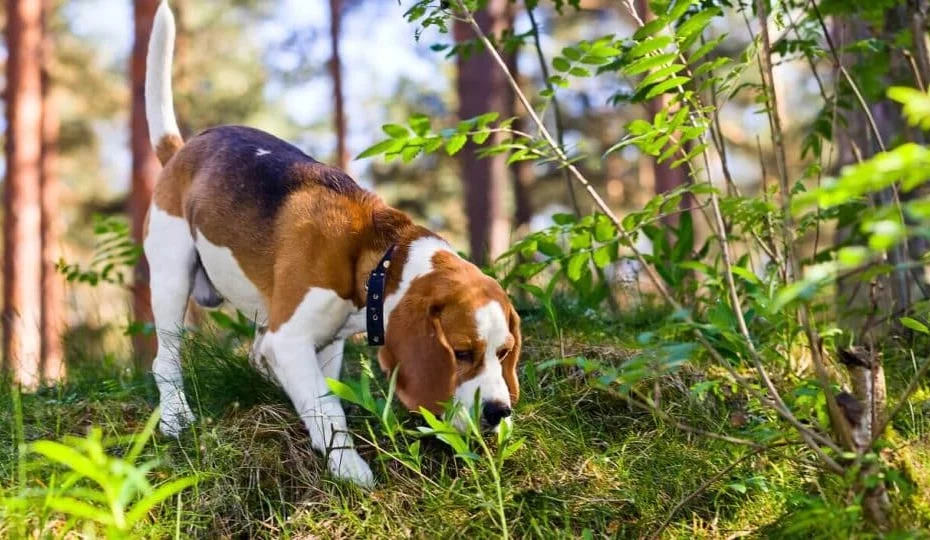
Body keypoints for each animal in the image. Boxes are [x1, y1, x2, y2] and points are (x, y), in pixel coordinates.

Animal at [145, 1, 520, 490]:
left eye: (504, 353)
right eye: (461, 353)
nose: (499, 411)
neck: (376, 260)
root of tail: (181, 150)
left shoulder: (326, 345)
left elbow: (324, 397)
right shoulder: (291, 340)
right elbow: (328, 410)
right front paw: (349, 467)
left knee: (253, 355)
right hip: (172, 276)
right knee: (166, 359)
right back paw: (175, 416)